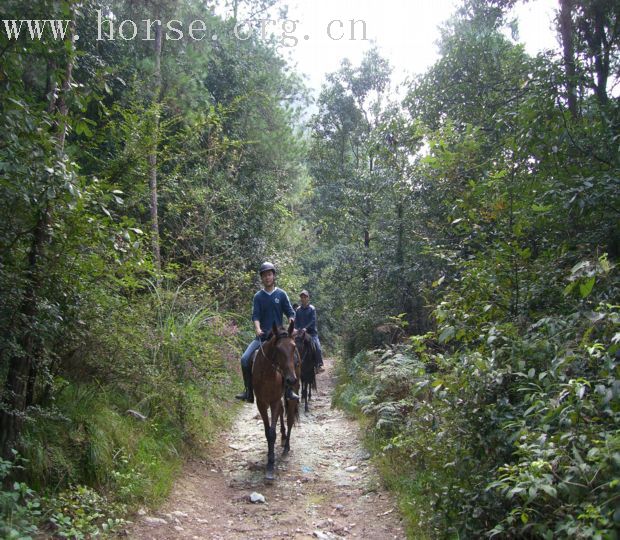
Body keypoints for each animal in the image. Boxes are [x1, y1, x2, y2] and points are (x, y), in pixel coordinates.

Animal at [252, 320, 300, 480]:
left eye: (293, 347)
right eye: (278, 349)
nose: (290, 379)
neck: (267, 374)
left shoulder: (274, 401)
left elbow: (272, 433)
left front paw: (270, 465)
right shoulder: (261, 403)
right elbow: (268, 432)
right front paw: (269, 457)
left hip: (291, 395)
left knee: (289, 418)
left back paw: (286, 447)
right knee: (281, 413)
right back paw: (284, 437)